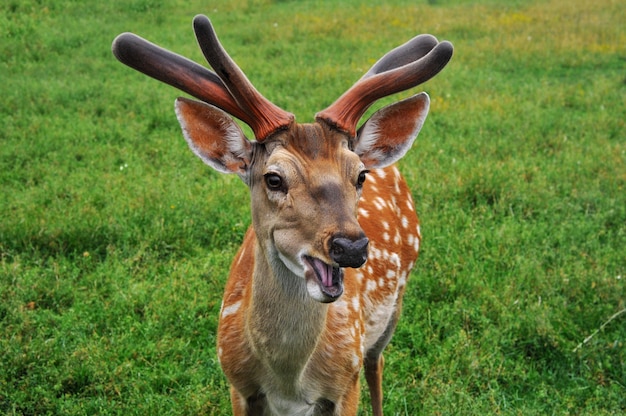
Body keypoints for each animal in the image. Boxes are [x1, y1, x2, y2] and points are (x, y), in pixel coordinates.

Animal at [112, 15, 450, 416]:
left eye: (359, 176)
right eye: (273, 178)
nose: (350, 247)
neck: (287, 383)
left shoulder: (343, 384)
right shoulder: (238, 385)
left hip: (393, 306)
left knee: (376, 363)